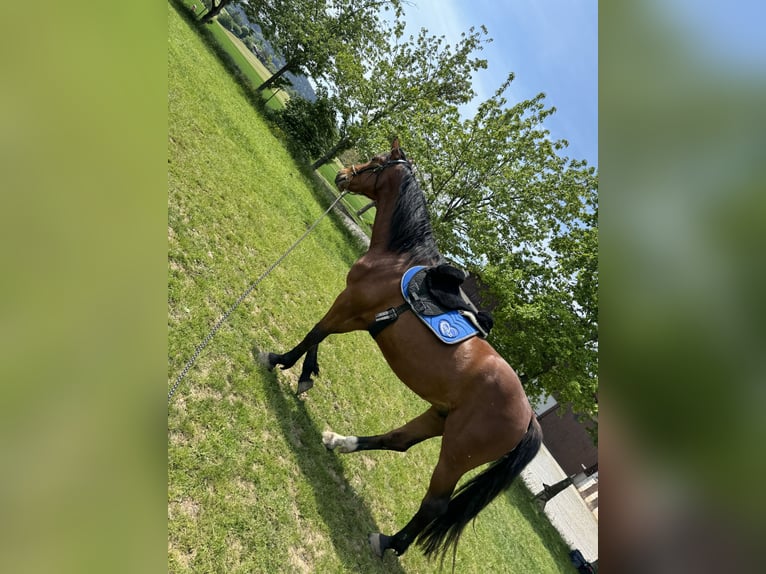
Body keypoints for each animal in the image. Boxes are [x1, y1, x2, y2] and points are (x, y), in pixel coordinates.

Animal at [268, 141, 544, 568]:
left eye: (377, 162)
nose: (344, 174)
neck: (396, 259)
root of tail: (529, 416)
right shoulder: (354, 313)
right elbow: (319, 336)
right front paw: (305, 375)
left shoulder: (349, 306)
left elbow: (315, 332)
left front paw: (283, 362)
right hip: (438, 416)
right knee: (398, 441)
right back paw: (339, 442)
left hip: (456, 453)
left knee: (435, 505)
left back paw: (388, 541)